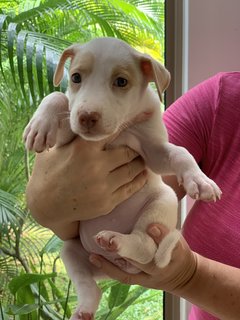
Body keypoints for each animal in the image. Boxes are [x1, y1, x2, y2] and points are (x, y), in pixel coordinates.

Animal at [23, 38, 221, 320]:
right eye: (75, 77)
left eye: (121, 82)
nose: (87, 116)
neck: (119, 130)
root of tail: (114, 267)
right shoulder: (68, 138)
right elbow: (57, 97)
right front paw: (40, 125)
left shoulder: (154, 151)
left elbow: (181, 153)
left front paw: (201, 181)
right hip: (71, 250)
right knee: (91, 287)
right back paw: (84, 308)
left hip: (162, 203)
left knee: (145, 245)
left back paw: (117, 240)